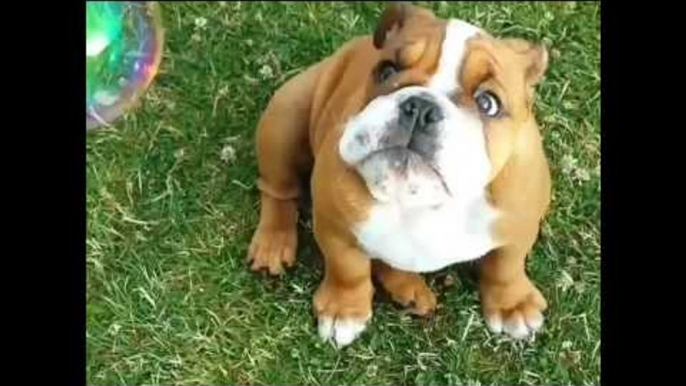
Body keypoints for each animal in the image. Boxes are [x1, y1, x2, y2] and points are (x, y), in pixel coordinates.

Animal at [247, 2, 552, 346]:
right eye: (387, 70)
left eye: (488, 103)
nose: (420, 107)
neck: (421, 200)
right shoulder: (335, 226)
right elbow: (347, 269)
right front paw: (344, 310)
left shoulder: (519, 225)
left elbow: (506, 266)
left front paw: (513, 306)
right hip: (285, 116)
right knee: (278, 191)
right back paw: (273, 243)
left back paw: (408, 290)